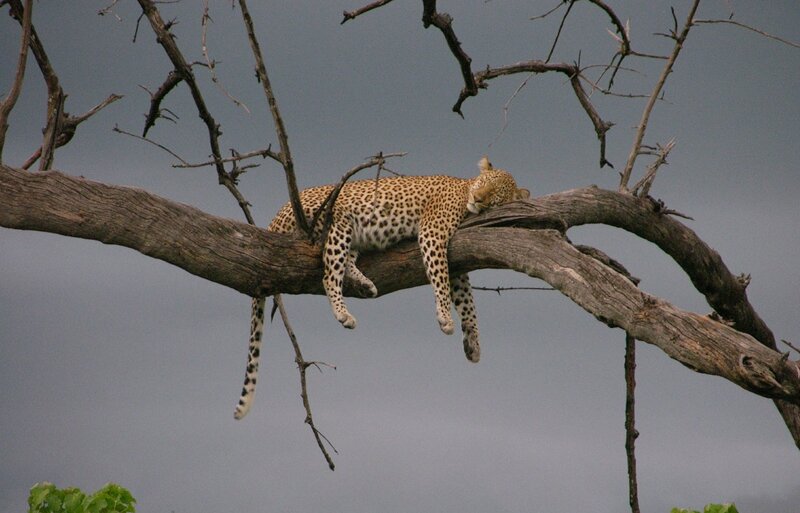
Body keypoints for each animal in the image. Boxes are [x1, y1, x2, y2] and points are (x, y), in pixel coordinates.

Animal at [234, 157, 529, 419]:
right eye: (483, 183)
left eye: (494, 194)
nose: (478, 197)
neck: (465, 188)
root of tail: (277, 214)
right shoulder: (433, 232)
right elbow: (441, 279)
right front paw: (445, 317)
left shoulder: (457, 262)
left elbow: (467, 303)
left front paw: (473, 343)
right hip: (338, 220)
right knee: (329, 272)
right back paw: (343, 313)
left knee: (345, 262)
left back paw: (364, 284)